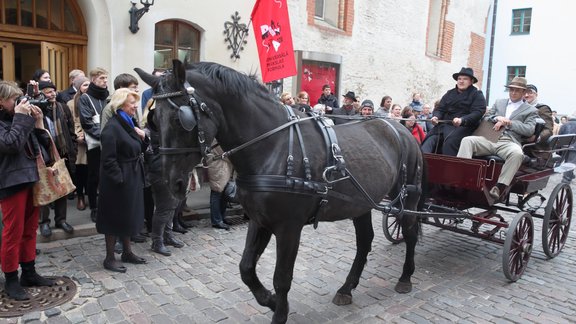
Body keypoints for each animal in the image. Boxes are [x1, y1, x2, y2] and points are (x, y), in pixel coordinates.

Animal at [134, 60, 424, 324]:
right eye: (154, 120)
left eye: (180, 119)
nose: (170, 181)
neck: (273, 146)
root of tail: (400, 128)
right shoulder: (259, 220)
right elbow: (246, 268)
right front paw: (270, 301)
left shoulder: (289, 227)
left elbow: (282, 277)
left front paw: (279, 311)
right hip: (363, 203)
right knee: (365, 241)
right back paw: (346, 288)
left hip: (407, 197)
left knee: (409, 233)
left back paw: (405, 277)